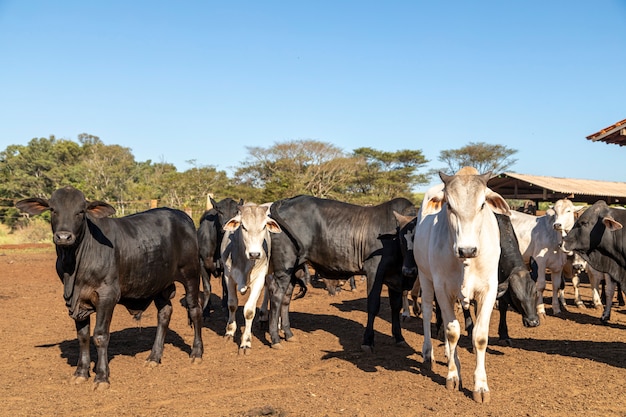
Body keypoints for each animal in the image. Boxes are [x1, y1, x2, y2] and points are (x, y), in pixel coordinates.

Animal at [16, 187, 202, 388]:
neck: (74, 267)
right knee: (164, 313)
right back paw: (154, 357)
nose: (64, 237)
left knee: (195, 309)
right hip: (159, 283)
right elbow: (83, 336)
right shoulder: (77, 300)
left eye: (81, 211)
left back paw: (196, 353)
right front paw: (81, 373)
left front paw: (102, 376)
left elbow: (100, 335)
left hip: (191, 275)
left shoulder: (107, 296)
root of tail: (182, 216)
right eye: (53, 210)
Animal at [266, 193, 416, 350]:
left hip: (294, 269)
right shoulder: (374, 273)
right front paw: (367, 340)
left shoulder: (396, 278)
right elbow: (373, 305)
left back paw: (288, 333)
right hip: (284, 267)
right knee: (276, 295)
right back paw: (275, 338)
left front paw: (399, 337)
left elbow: (396, 306)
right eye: (402, 239)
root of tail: (287, 201)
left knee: (286, 298)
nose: (409, 270)